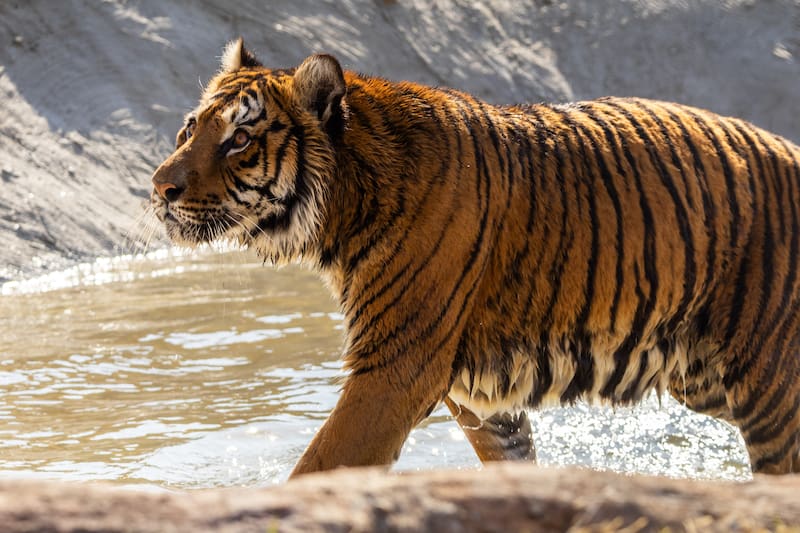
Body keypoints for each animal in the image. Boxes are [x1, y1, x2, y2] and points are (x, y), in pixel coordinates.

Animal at [149, 38, 800, 477]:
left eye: (239, 139)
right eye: (190, 127)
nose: (160, 187)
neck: (344, 209)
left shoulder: (395, 369)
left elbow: (319, 467)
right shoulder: (479, 399)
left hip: (768, 388)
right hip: (703, 376)